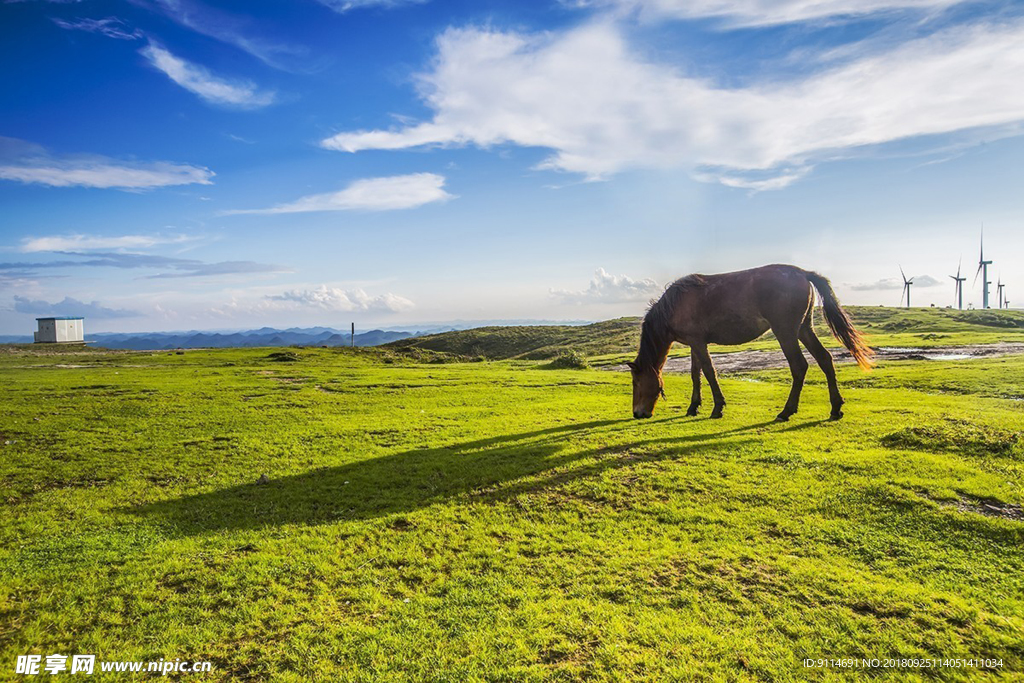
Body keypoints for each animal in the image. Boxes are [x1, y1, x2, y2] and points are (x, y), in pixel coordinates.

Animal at [626, 266, 876, 421]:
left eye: (636, 382)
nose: (637, 413)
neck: (675, 304)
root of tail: (803, 273)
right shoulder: (695, 344)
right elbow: (695, 374)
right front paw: (693, 407)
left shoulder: (698, 343)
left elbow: (709, 372)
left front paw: (717, 407)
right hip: (804, 329)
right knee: (825, 359)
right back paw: (835, 408)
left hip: (785, 331)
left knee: (799, 366)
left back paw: (786, 411)